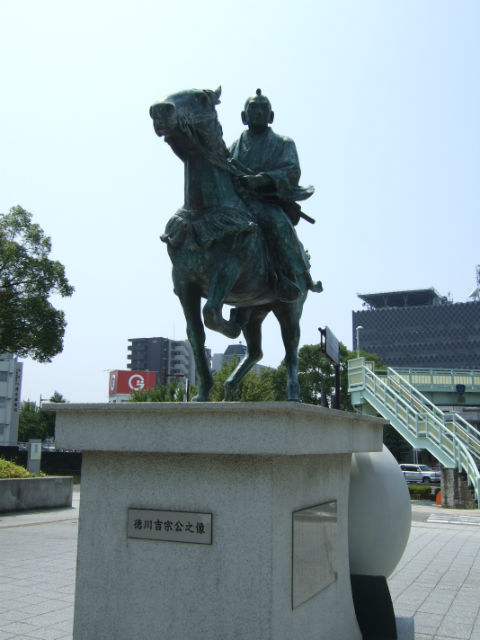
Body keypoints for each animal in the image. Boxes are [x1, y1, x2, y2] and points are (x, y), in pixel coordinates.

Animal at [149, 86, 322, 400]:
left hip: (290, 305)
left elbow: (211, 315)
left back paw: (293, 392)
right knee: (256, 350)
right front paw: (203, 393)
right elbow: (196, 333)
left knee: (291, 347)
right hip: (258, 307)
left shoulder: (228, 269)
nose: (159, 110)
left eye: (201, 98)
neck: (203, 212)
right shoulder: (184, 282)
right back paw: (230, 385)